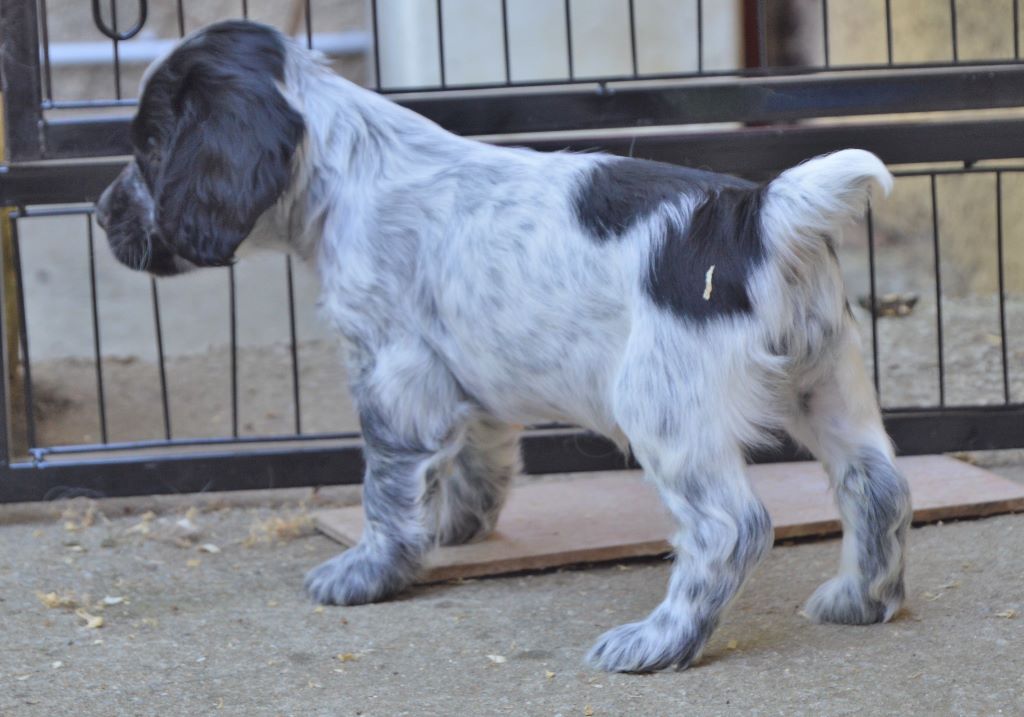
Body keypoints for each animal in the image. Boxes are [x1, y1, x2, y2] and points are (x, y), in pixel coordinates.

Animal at [96, 20, 912, 673]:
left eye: (151, 146)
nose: (101, 216)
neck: (355, 166)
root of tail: (758, 212)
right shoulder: (465, 377)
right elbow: (477, 459)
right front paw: (457, 530)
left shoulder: (392, 372)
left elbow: (385, 490)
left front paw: (368, 572)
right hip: (826, 379)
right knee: (877, 483)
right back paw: (859, 599)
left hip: (665, 406)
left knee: (729, 528)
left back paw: (657, 641)